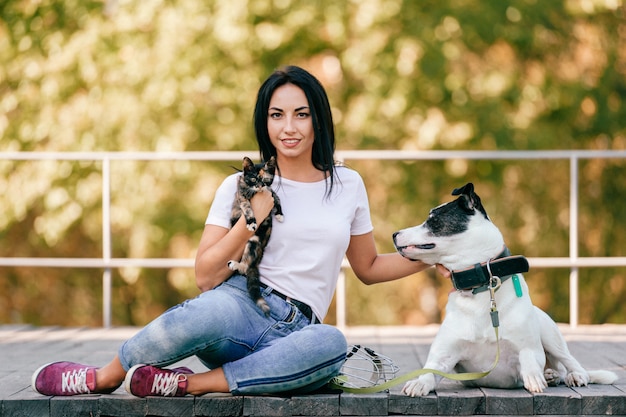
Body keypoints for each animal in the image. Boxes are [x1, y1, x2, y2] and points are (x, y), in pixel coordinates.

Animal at [227, 156, 282, 316]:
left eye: (266, 179)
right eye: (253, 178)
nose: (259, 186)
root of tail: (257, 262)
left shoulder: (270, 191)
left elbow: (276, 197)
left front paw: (280, 214)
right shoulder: (241, 196)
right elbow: (247, 208)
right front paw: (251, 222)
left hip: (253, 241)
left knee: (246, 267)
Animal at [392, 183, 616, 396]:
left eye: (432, 219)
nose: (394, 234)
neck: (482, 287)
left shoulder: (529, 349)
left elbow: (528, 357)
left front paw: (534, 376)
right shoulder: (442, 357)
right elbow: (428, 373)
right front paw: (418, 383)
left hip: (551, 335)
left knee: (568, 361)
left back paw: (574, 375)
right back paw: (551, 375)